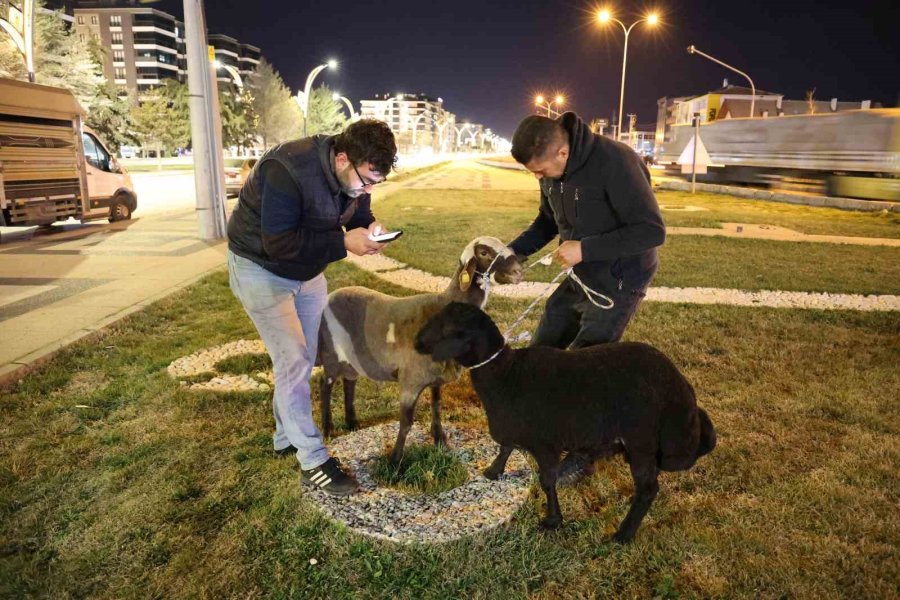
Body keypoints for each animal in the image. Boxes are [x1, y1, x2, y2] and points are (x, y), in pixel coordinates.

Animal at [318, 237, 524, 462]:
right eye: (484, 253)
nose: (518, 272)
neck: (442, 306)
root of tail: (331, 296)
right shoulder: (411, 378)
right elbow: (406, 422)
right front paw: (395, 461)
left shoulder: (436, 377)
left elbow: (437, 406)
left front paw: (440, 441)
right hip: (330, 352)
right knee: (326, 386)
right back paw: (327, 430)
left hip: (353, 358)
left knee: (349, 382)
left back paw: (352, 424)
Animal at [414, 302, 716, 540]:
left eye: (449, 326)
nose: (417, 343)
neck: (506, 373)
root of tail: (682, 387)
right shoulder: (514, 426)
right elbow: (506, 446)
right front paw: (493, 471)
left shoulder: (546, 444)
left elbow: (547, 480)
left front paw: (552, 521)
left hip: (641, 439)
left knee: (648, 489)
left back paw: (623, 535)